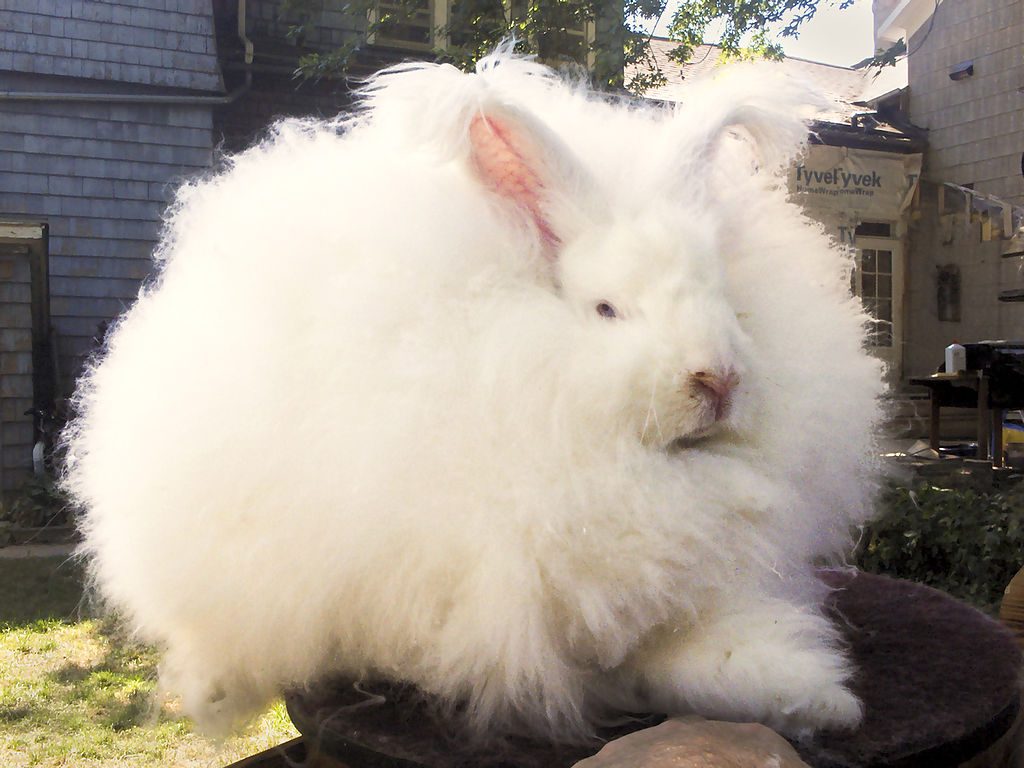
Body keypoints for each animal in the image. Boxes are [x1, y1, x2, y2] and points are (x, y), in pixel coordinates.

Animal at [61, 49, 880, 745]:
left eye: (729, 302)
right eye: (607, 310)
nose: (718, 379)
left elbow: (708, 655)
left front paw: (821, 700)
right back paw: (212, 690)